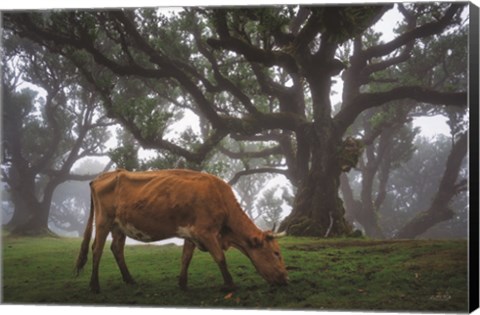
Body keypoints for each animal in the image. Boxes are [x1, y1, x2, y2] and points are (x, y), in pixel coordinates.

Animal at [73, 169, 286, 296]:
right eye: (276, 253)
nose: (286, 279)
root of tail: (104, 176)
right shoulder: (206, 232)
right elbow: (220, 258)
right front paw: (230, 284)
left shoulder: (191, 234)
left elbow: (186, 258)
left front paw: (183, 284)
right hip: (103, 221)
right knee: (96, 249)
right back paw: (94, 286)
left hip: (119, 226)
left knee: (116, 249)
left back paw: (130, 280)